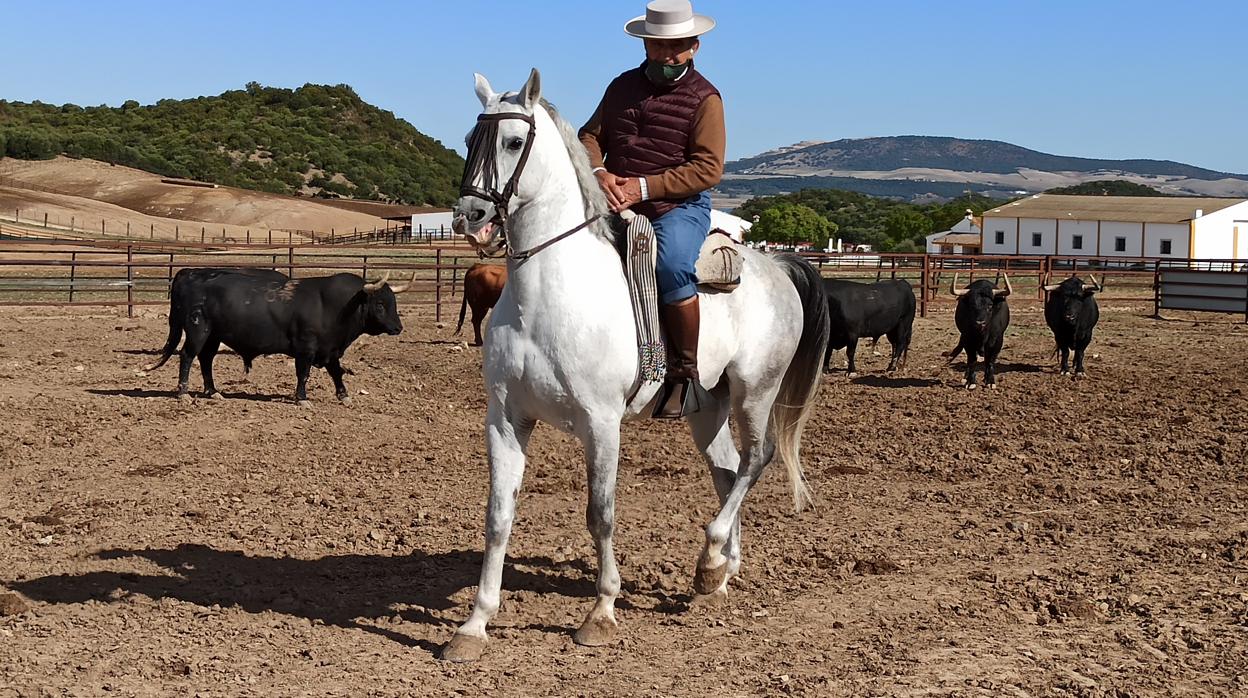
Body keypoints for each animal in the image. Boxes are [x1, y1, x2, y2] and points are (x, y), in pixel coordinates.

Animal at [441, 68, 830, 662]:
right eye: (468, 140)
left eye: (513, 141)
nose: (470, 217)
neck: (546, 296)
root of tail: (779, 265)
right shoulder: (505, 419)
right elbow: (498, 515)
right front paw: (475, 624)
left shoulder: (602, 424)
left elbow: (600, 513)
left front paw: (601, 613)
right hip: (707, 407)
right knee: (726, 469)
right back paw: (717, 573)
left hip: (755, 391)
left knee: (756, 460)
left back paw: (713, 555)